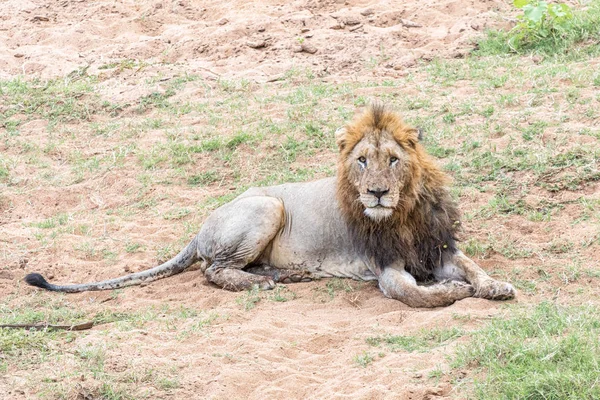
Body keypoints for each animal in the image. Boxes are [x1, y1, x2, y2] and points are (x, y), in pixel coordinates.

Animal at [25, 104, 516, 308]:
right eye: (361, 160)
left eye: (392, 160)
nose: (376, 192)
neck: (404, 212)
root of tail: (200, 226)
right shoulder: (386, 265)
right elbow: (411, 293)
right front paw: (451, 293)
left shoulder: (439, 247)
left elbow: (474, 267)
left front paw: (496, 286)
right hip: (267, 206)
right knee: (213, 270)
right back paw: (262, 283)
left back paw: (285, 275)